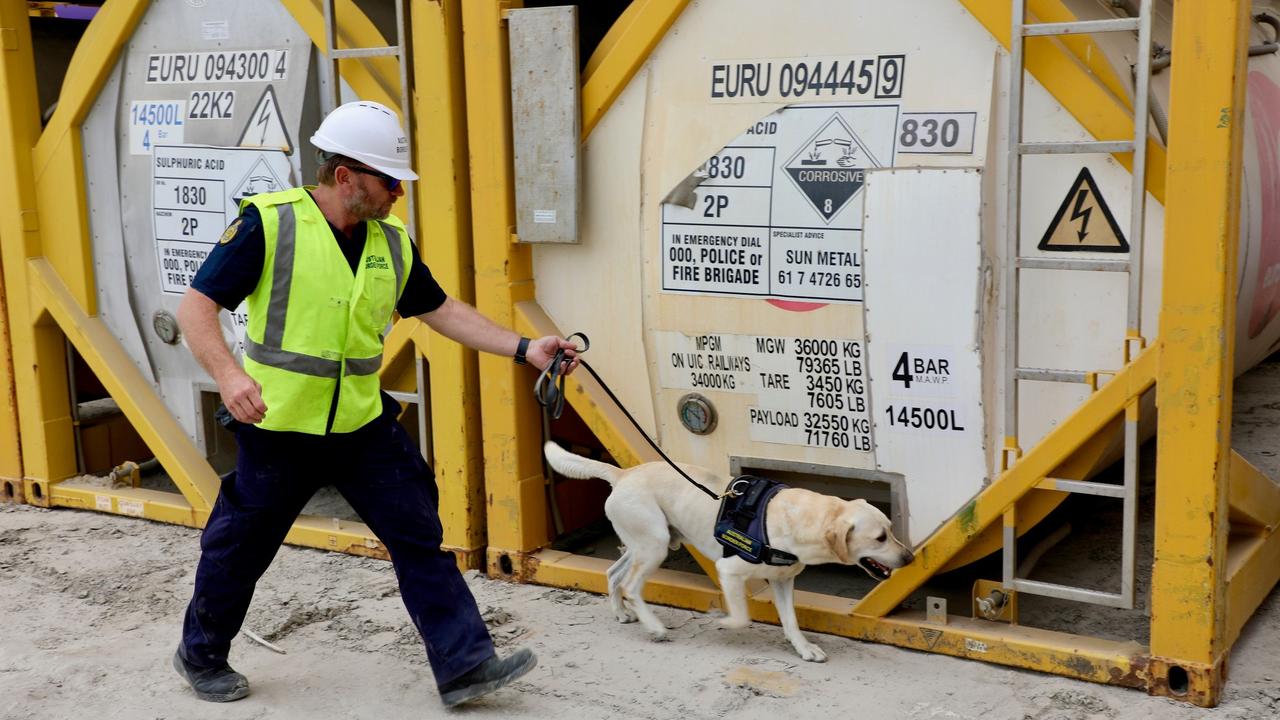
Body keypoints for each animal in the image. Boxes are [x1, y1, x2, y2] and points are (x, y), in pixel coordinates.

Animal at [545, 443, 916, 661]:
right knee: (631, 585)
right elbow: (741, 617)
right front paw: (719, 620)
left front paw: (804, 648)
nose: (910, 559)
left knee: (614, 574)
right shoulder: (729, 571)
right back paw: (655, 628)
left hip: (647, 544)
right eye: (880, 537)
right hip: (653, 547)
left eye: (891, 530)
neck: (798, 520)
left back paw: (622, 613)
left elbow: (791, 621)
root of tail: (623, 473)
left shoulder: (783, 581)